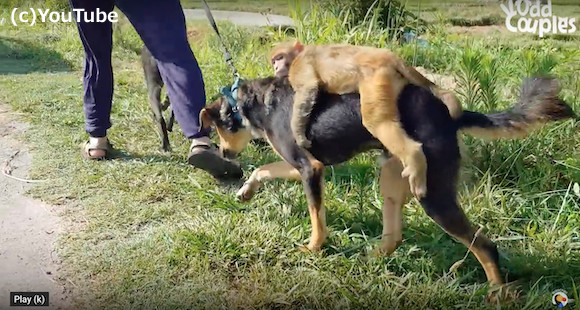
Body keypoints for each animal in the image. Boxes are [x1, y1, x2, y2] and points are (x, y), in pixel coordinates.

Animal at [198, 75, 576, 288]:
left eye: (216, 128)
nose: (224, 153)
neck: (251, 103)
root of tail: (449, 115)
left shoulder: (310, 167)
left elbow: (317, 217)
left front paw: (313, 248)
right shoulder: (305, 164)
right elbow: (263, 170)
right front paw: (245, 192)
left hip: (433, 194)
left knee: (484, 245)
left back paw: (497, 293)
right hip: (393, 179)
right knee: (394, 236)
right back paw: (368, 258)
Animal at [270, 41, 460, 197]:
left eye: (279, 58)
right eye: (274, 61)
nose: (276, 68)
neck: (301, 53)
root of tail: (390, 57)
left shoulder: (299, 65)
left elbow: (308, 89)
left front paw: (299, 135)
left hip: (376, 78)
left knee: (377, 122)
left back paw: (413, 157)